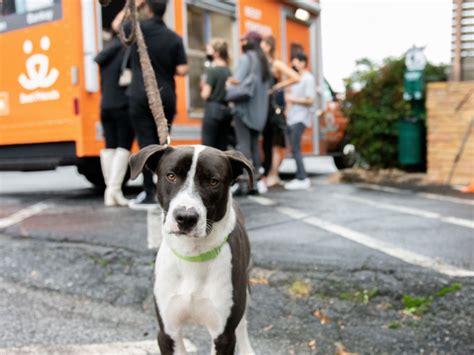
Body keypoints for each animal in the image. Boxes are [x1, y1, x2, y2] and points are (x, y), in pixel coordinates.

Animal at [129, 145, 256, 355]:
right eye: (171, 176)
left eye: (213, 181)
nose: (186, 217)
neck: (193, 253)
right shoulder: (168, 333)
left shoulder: (223, 336)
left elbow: (234, 329)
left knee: (243, 324)